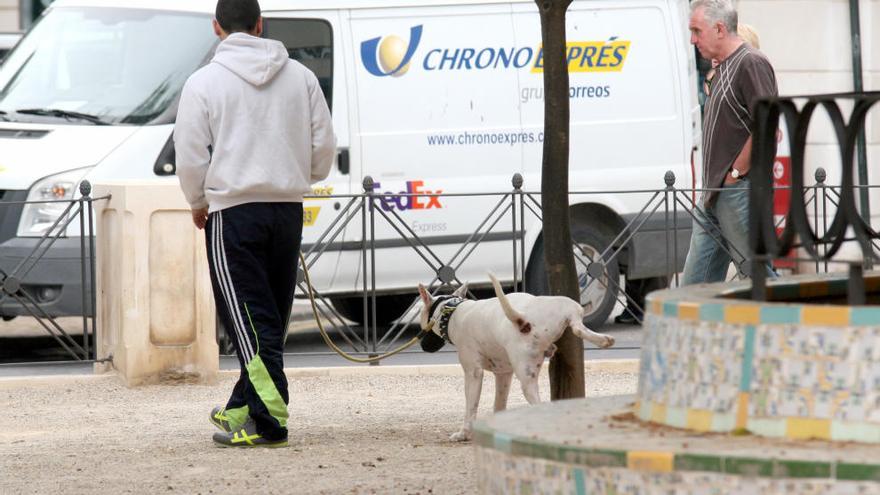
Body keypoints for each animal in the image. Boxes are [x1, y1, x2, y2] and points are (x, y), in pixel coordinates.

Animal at [418, 276, 612, 442]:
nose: (422, 346)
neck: (453, 311)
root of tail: (523, 320)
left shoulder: (473, 373)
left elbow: (471, 406)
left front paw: (463, 433)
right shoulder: (503, 375)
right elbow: (499, 403)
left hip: (526, 379)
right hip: (568, 306)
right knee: (578, 327)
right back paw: (603, 339)